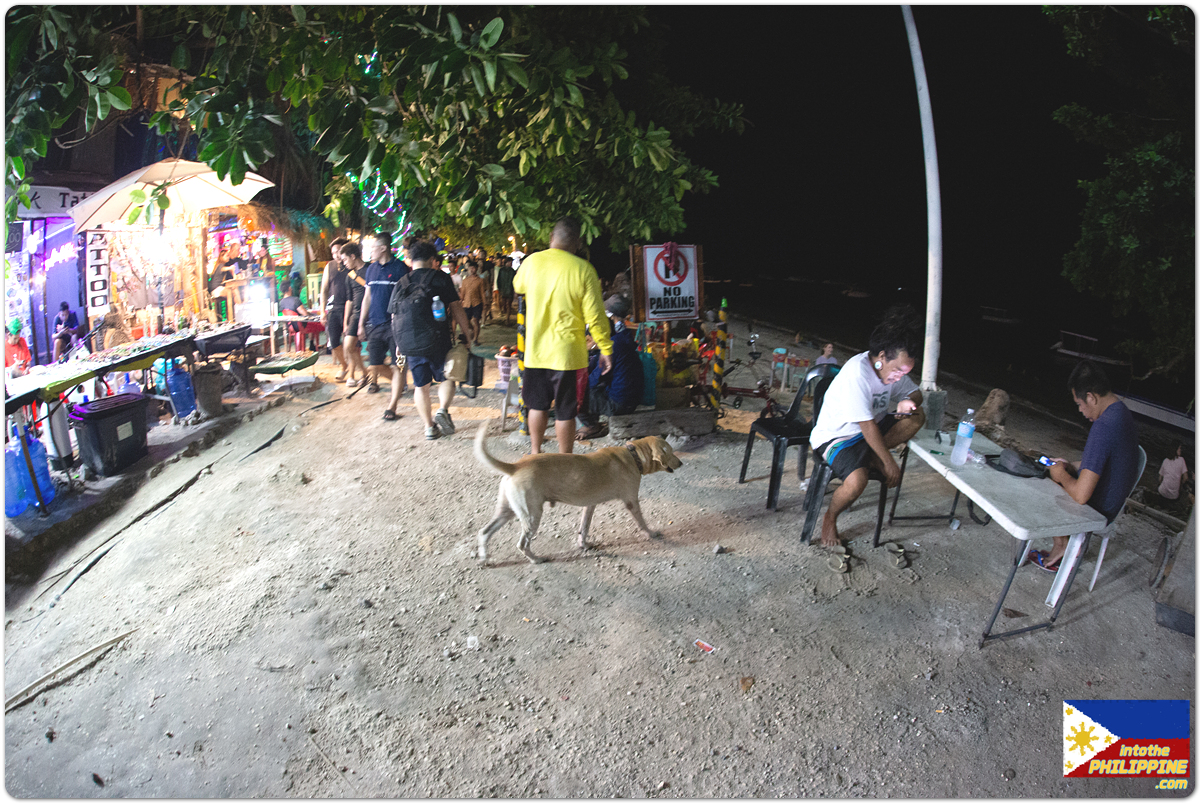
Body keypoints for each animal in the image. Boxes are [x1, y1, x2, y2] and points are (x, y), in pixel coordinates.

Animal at [473, 423, 683, 563]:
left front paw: (583, 544)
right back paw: (535, 559)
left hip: (507, 511)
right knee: (522, 544)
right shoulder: (631, 501)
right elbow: (642, 522)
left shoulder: (589, 506)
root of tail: (515, 466)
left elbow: (584, 528)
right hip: (532, 516)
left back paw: (484, 558)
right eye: (671, 452)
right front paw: (651, 533)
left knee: (484, 532)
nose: (681, 463)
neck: (634, 455)